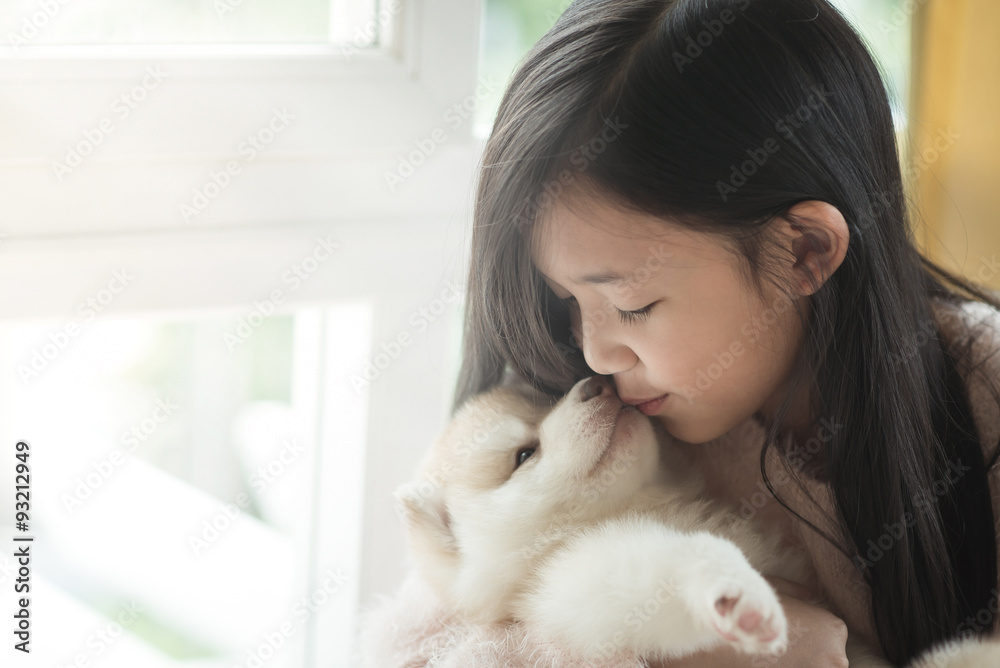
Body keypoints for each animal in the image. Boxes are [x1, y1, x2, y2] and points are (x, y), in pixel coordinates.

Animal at [394, 378, 996, 664]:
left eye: (549, 397)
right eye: (523, 454)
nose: (596, 382)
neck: (638, 506)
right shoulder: (578, 585)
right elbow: (682, 558)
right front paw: (734, 593)